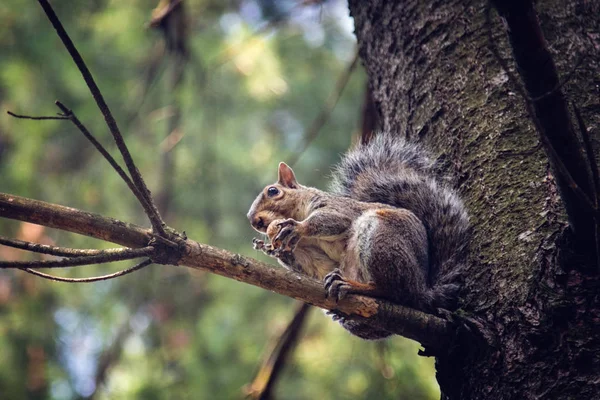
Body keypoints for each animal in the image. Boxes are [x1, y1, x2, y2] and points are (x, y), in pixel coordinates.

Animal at [247, 133, 468, 340]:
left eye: (273, 191)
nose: (253, 220)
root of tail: (422, 291)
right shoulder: (310, 252)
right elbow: (315, 263)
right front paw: (271, 249)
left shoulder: (339, 208)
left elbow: (333, 220)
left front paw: (297, 227)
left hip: (382, 238)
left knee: (391, 292)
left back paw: (352, 287)